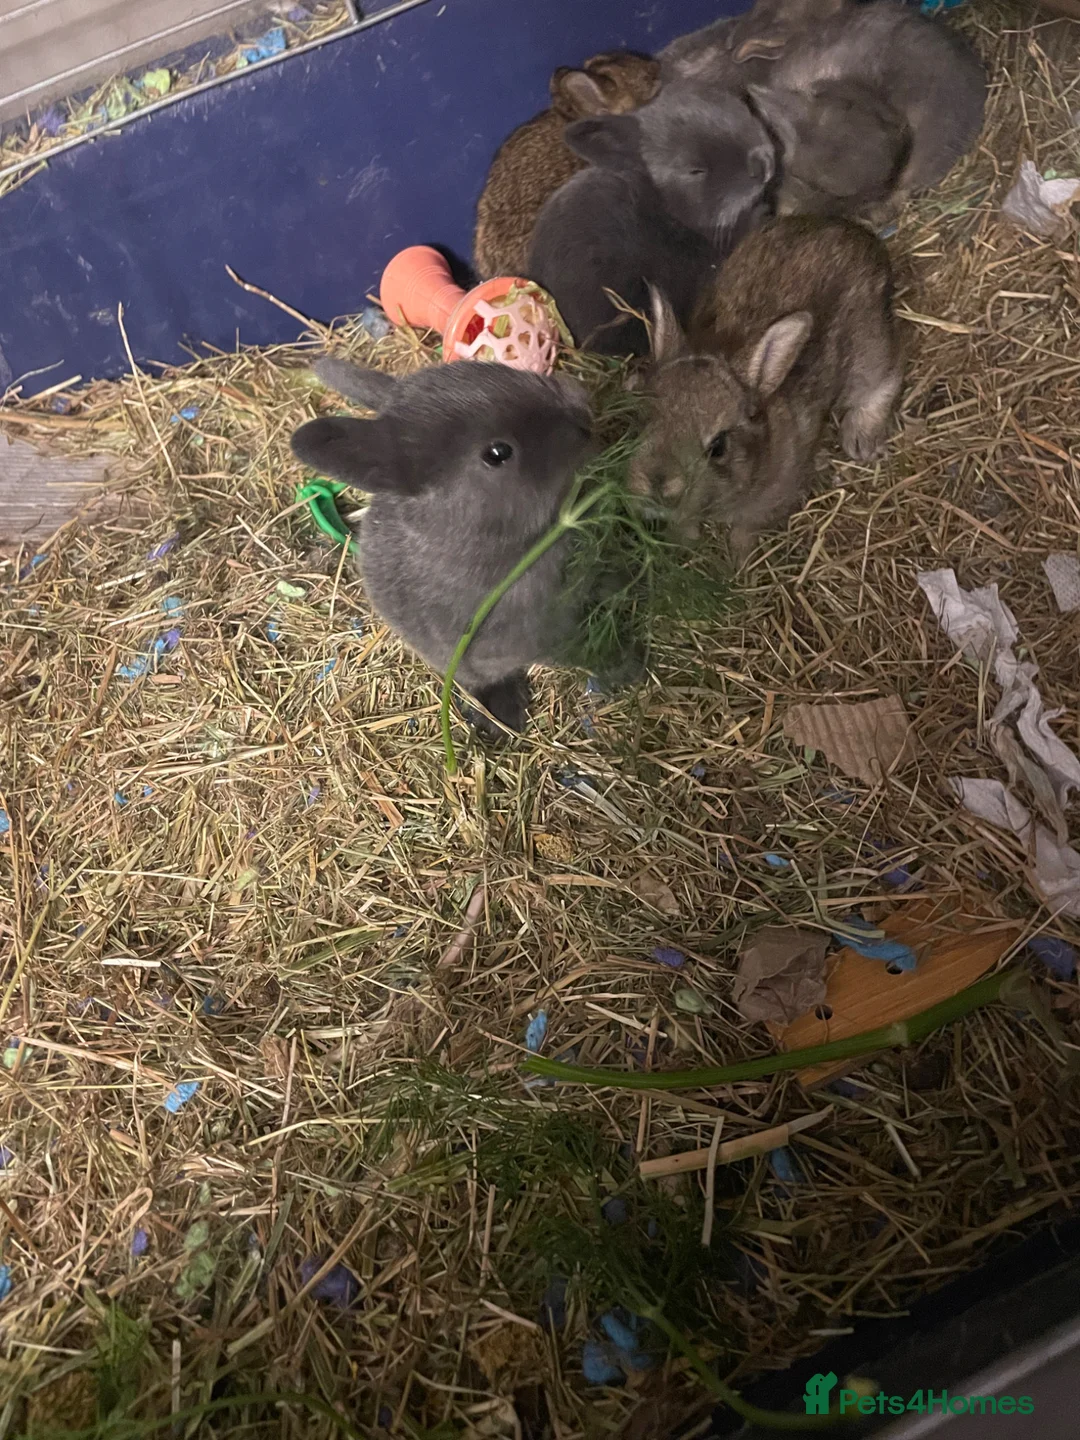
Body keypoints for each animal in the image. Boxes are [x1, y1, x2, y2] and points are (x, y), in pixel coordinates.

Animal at [628, 215, 902, 562]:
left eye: (718, 447)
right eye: (640, 420)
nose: (656, 486)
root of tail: (863, 235)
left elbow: (746, 529)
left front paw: (739, 559)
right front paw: (683, 544)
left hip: (868, 351)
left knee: (888, 374)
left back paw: (861, 438)